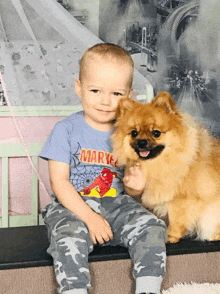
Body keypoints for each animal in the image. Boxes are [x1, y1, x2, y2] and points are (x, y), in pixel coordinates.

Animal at [111, 90, 220, 242]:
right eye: (134, 133)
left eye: (156, 133)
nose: (142, 142)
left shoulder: (181, 200)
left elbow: (175, 220)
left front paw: (170, 236)